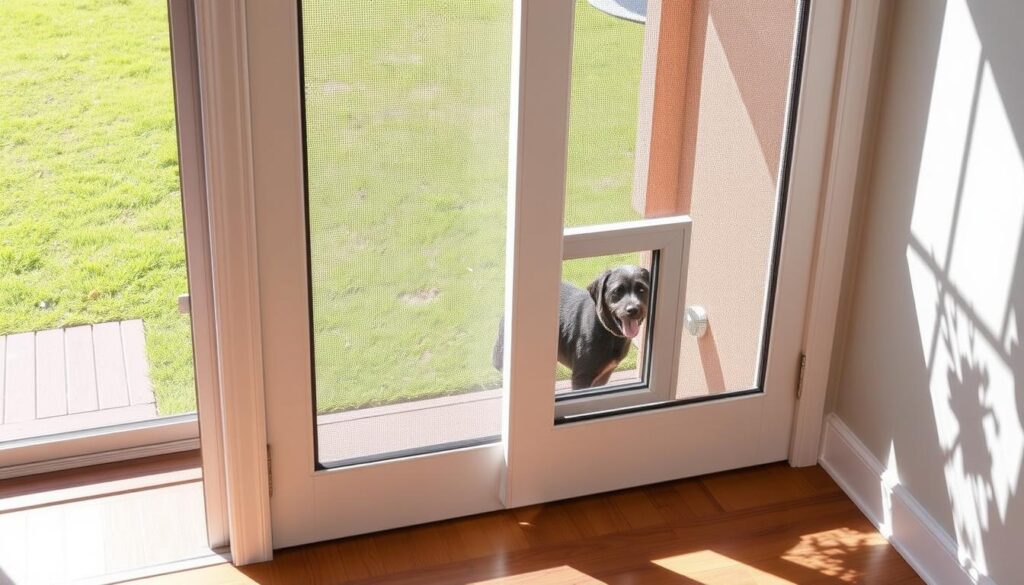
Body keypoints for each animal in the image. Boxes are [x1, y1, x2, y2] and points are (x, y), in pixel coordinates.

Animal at [491, 268, 651, 391]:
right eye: (617, 291)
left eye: (642, 289)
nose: (633, 309)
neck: (606, 331)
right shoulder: (581, 376)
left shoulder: (603, 375)